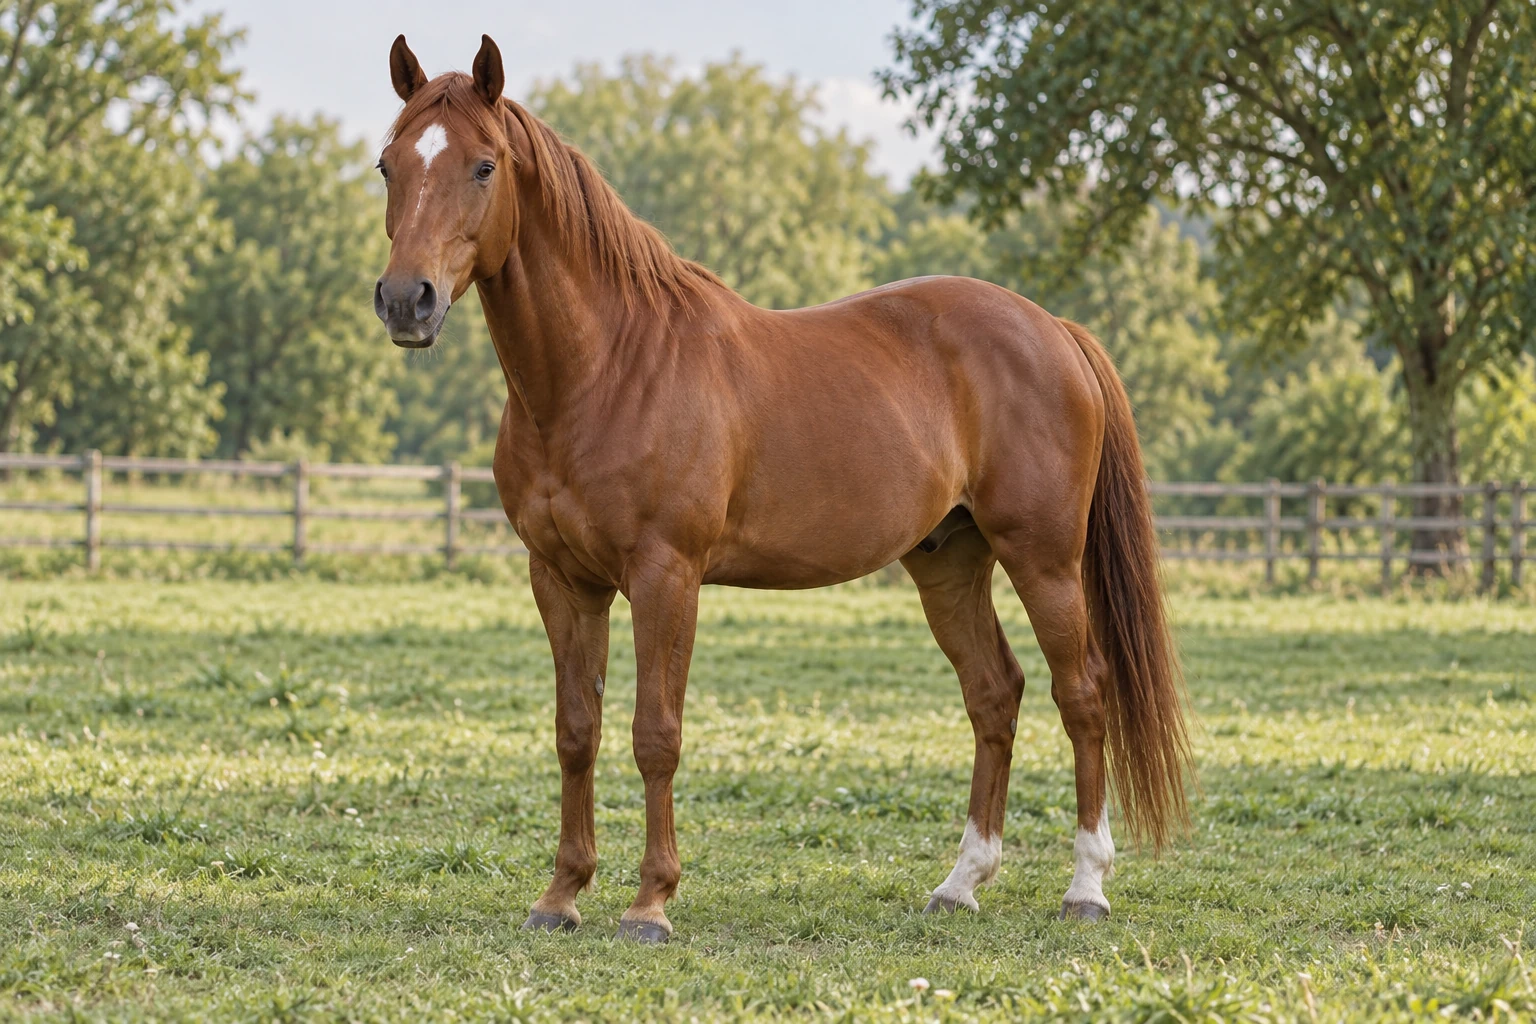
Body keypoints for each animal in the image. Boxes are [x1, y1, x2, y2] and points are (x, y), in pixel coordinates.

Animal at [373, 34, 1191, 943]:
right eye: (387, 164)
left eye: (483, 166)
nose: (407, 301)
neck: (604, 370)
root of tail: (1054, 329)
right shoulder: (561, 580)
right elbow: (576, 732)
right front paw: (561, 896)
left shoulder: (666, 576)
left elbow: (655, 734)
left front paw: (650, 903)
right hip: (949, 562)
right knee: (994, 695)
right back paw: (960, 883)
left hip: (1043, 558)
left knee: (1081, 694)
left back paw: (1086, 887)